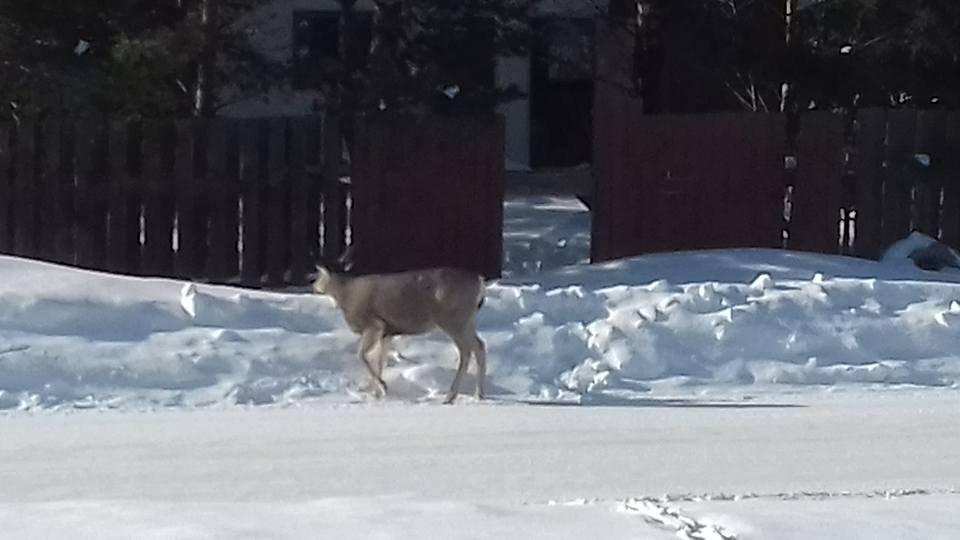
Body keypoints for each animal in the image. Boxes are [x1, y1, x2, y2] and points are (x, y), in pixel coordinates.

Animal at [314, 260, 488, 402]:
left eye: (317, 275)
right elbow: (380, 360)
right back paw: (478, 395)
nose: (314, 286)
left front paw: (382, 387)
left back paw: (450, 396)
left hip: (454, 320)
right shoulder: (387, 333)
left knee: (466, 352)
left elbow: (362, 355)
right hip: (468, 321)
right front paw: (376, 393)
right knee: (479, 346)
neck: (346, 293)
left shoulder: (374, 325)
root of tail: (479, 283)